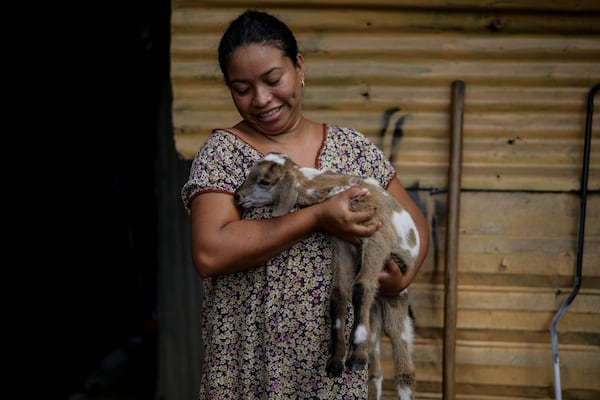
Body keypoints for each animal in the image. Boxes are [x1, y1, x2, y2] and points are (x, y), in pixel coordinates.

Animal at [233, 153, 418, 400]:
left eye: (264, 181)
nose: (237, 197)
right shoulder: (343, 241)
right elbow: (338, 295)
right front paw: (335, 363)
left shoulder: (377, 233)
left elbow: (362, 287)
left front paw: (354, 359)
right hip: (375, 317)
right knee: (375, 374)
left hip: (397, 306)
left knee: (405, 370)